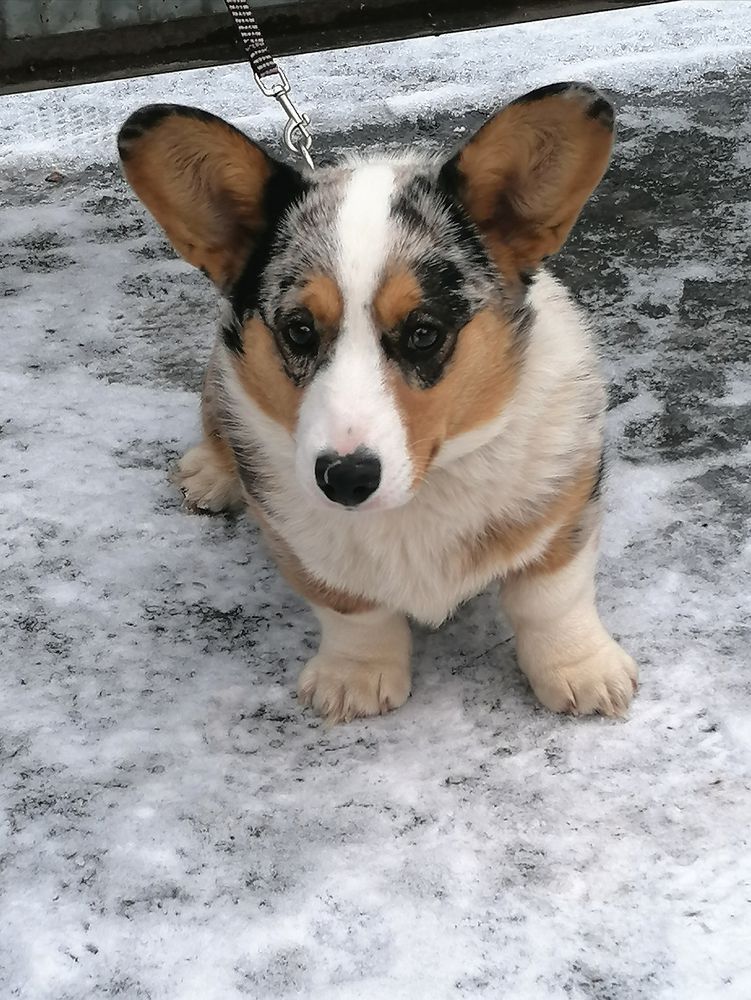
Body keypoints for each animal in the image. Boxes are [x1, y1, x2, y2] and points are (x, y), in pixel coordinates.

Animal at [120, 82, 636, 724]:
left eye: (423, 333)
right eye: (298, 331)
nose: (345, 479)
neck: (420, 493)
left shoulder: (567, 506)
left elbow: (551, 596)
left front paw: (580, 670)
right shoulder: (305, 545)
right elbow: (352, 610)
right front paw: (356, 678)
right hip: (220, 377)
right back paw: (211, 473)